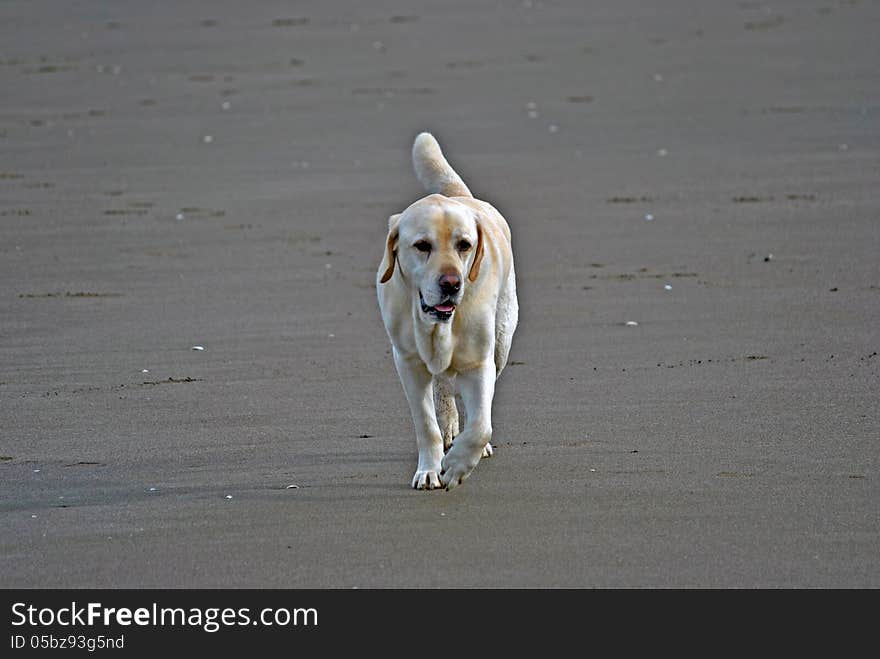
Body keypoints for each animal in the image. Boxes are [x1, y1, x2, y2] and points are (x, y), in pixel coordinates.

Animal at [376, 133, 516, 490]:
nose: (452, 283)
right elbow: (426, 425)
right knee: (442, 387)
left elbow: (481, 426)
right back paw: (450, 425)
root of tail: (461, 196)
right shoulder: (408, 363)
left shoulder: (479, 361)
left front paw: (456, 465)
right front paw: (430, 469)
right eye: (422, 245)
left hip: (502, 340)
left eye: (464, 245)